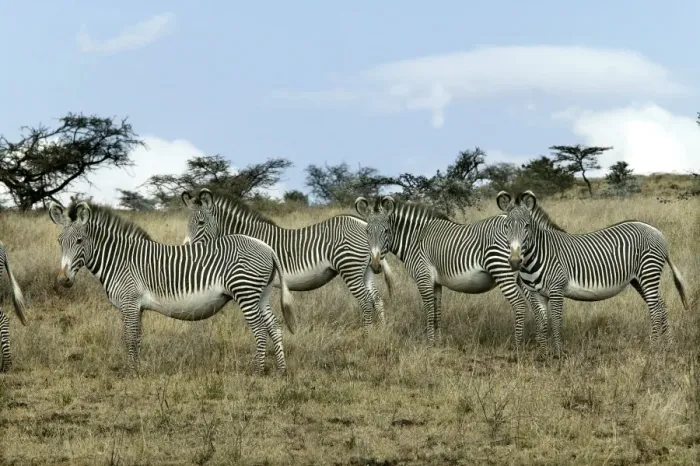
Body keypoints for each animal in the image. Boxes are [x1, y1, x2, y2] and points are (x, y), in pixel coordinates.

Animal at [48, 200, 298, 374]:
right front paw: (136, 369)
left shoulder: (129, 303)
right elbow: (137, 337)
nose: (63, 280)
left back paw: (257, 371)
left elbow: (130, 337)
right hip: (261, 294)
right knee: (274, 327)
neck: (120, 260)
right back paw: (281, 370)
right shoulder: (137, 307)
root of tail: (266, 247)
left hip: (245, 291)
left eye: (79, 241)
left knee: (259, 329)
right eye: (59, 241)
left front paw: (130, 372)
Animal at [181, 189, 396, 330]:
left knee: (366, 300)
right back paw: (381, 331)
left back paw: (367, 333)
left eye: (201, 223)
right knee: (376, 298)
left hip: (350, 268)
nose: (187, 249)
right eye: (187, 224)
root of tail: (362, 222)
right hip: (365, 270)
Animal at [354, 195, 531, 349]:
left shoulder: (423, 277)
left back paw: (517, 346)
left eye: (386, 231)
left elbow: (430, 311)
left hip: (502, 270)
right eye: (367, 231)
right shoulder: (436, 282)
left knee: (520, 305)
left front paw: (429, 343)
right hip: (523, 275)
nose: (375, 266)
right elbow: (437, 312)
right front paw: (438, 342)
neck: (415, 238)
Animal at [495, 190, 689, 358]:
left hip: (648, 273)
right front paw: (542, 355)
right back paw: (668, 345)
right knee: (661, 306)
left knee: (655, 308)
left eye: (527, 226)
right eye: (506, 227)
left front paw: (558, 355)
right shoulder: (535, 294)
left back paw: (654, 346)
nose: (514, 261)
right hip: (638, 279)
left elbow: (556, 322)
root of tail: (657, 232)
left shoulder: (557, 290)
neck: (539, 254)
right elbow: (541, 323)